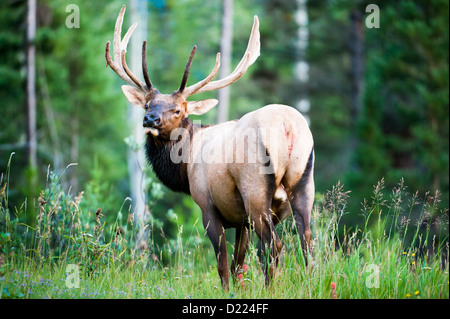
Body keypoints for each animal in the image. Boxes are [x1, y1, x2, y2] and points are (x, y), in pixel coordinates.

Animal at [106, 5, 316, 290]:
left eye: (178, 110)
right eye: (147, 105)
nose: (150, 120)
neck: (184, 169)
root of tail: (288, 126)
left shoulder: (207, 205)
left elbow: (223, 264)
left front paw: (228, 292)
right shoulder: (241, 220)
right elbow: (239, 262)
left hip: (255, 191)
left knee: (274, 245)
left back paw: (270, 288)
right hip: (304, 183)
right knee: (307, 241)